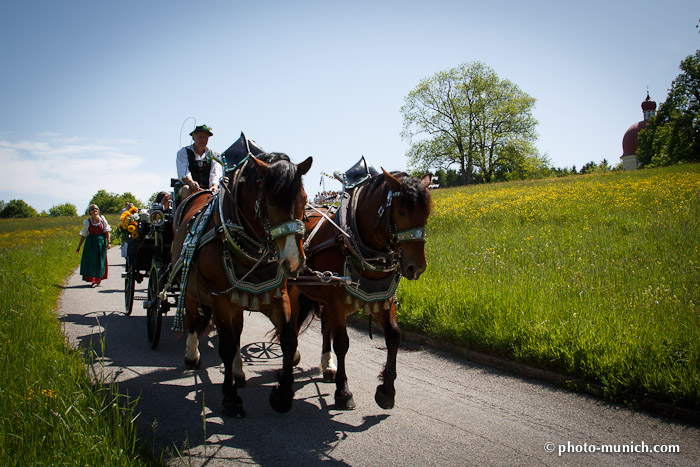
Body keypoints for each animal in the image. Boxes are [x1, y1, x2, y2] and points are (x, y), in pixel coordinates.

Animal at [171, 153, 310, 416]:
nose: (293, 262)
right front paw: (230, 398)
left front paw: (283, 395)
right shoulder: (219, 298)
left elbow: (288, 339)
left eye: (305, 200)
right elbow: (225, 346)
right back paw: (192, 354)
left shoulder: (277, 295)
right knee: (192, 315)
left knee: (236, 331)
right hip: (191, 285)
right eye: (270, 202)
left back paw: (238, 371)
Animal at [290, 171, 432, 410]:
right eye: (401, 212)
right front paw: (343, 392)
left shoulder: (382, 299)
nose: (417, 267)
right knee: (291, 321)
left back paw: (327, 365)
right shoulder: (337, 301)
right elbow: (342, 343)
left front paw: (387, 391)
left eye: (427, 213)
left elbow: (394, 336)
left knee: (325, 327)